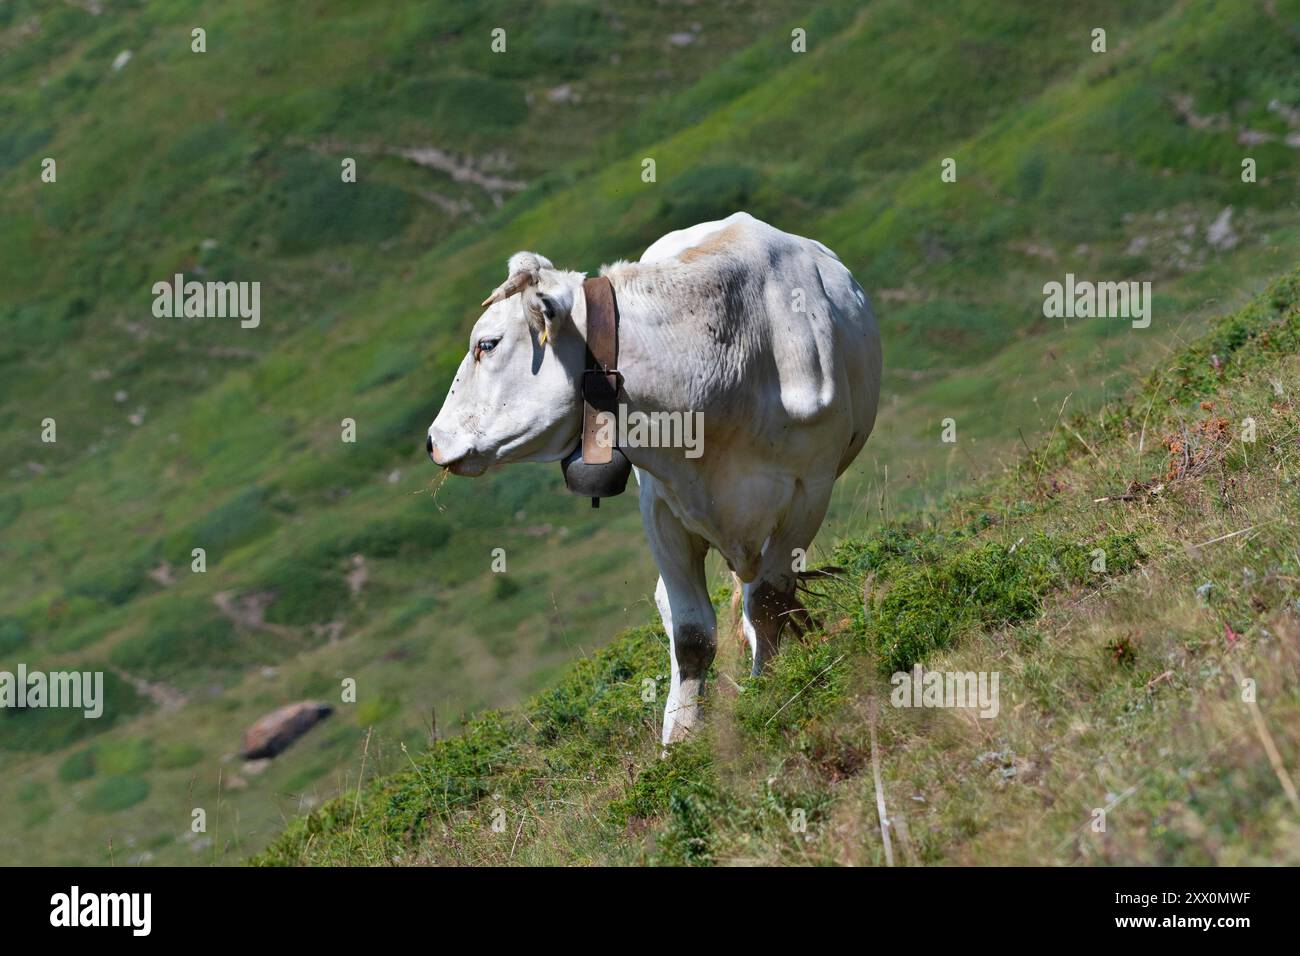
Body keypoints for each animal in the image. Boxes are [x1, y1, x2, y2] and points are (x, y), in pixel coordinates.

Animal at [427, 212, 882, 744]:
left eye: (487, 344)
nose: (432, 440)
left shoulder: (811, 490)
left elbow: (769, 602)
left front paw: (767, 693)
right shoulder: (662, 506)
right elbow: (691, 634)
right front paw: (679, 741)